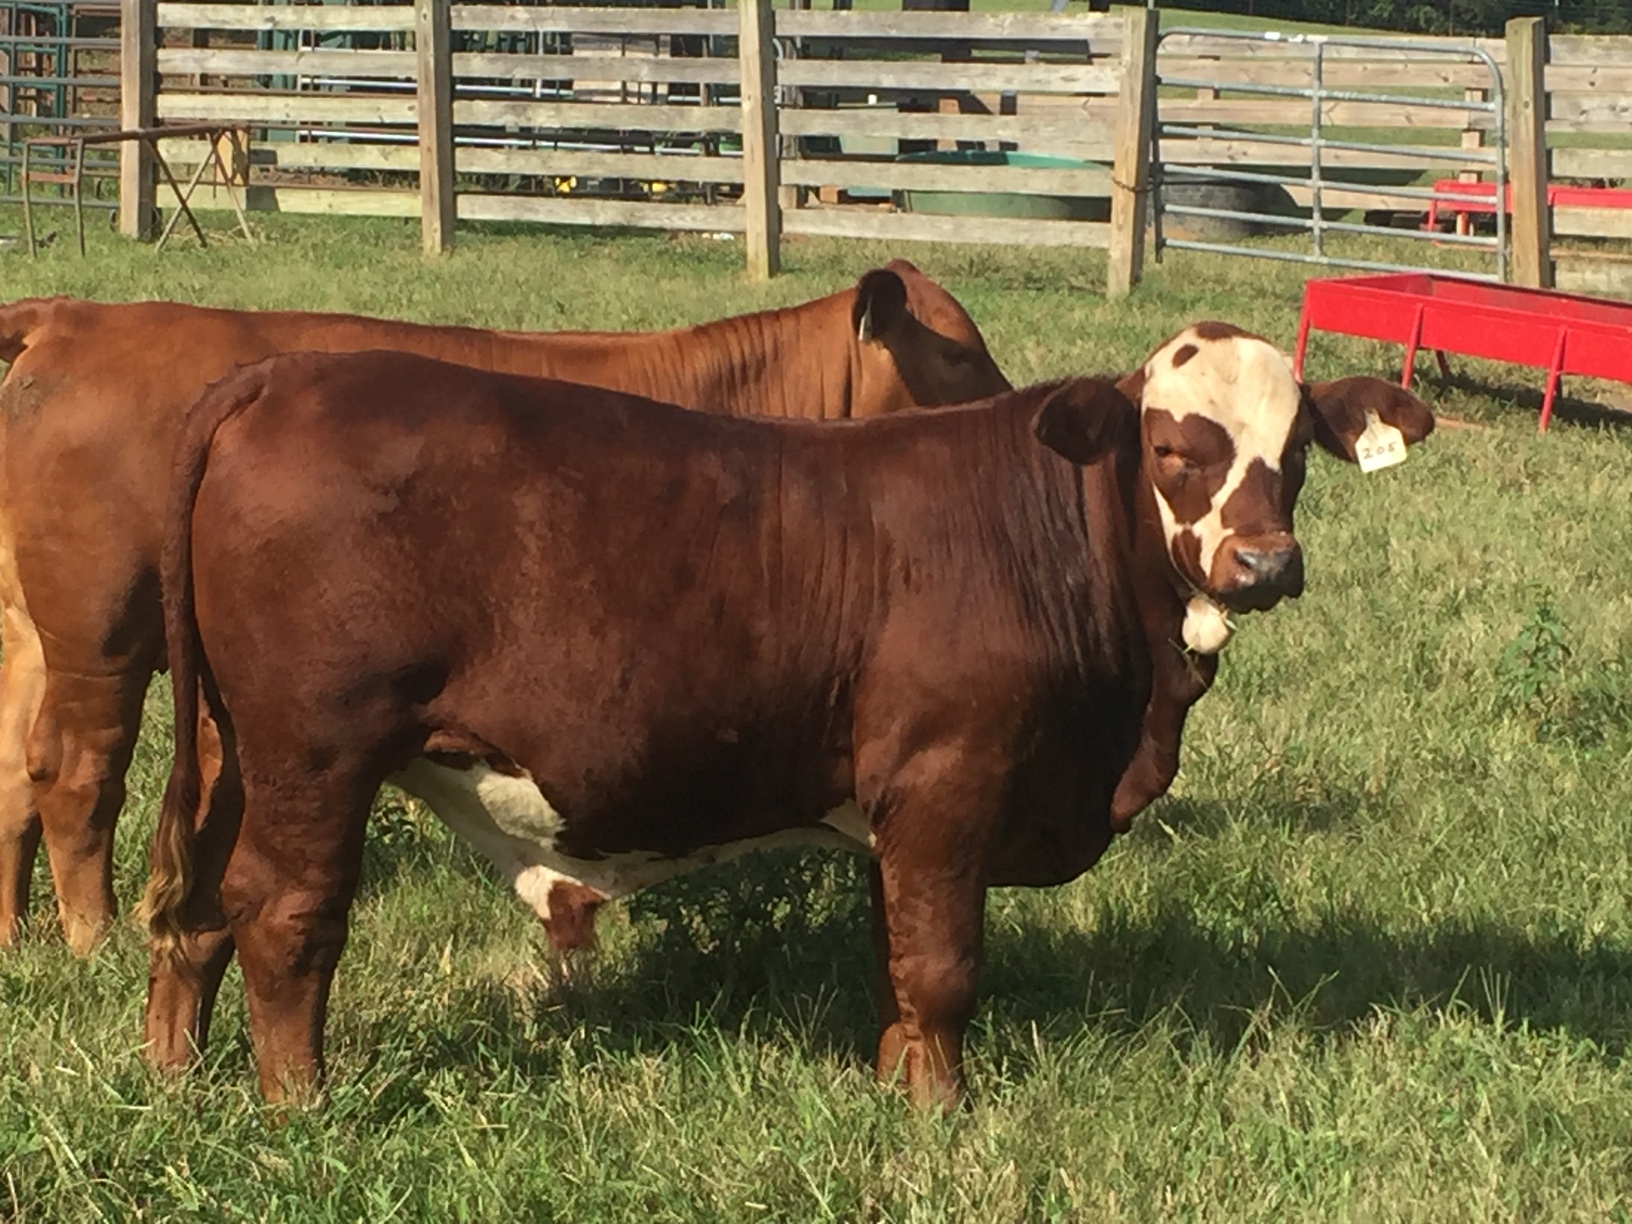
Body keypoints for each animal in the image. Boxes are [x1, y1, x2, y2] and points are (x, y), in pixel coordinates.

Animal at [0, 261, 1009, 954]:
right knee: (78, 770)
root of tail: (71, 318)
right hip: (100, 631)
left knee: (17, 768)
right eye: (959, 350)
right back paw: (92, 940)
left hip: (34, 634)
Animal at [140, 323, 1433, 1108]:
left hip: (230, 746)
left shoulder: (899, 807)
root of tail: (282, 376)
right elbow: (944, 962)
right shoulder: (950, 776)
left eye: (1298, 453)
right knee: (283, 913)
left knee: (196, 910)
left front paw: (896, 1079)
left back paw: (176, 1076)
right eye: (1172, 447)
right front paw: (941, 1112)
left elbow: (896, 955)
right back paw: (299, 1102)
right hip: (318, 749)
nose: (1263, 565)